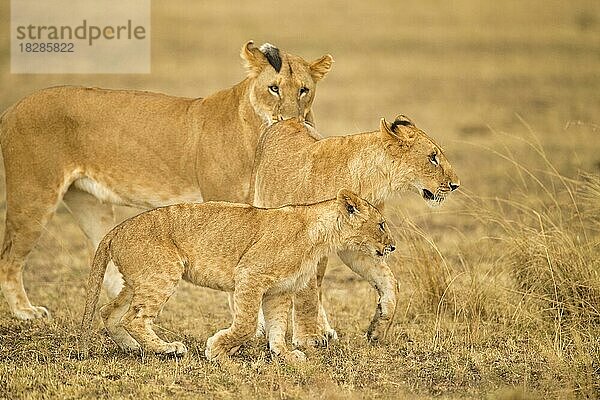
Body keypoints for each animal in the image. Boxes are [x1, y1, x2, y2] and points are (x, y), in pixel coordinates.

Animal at [0, 40, 332, 320]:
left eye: (304, 90)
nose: (290, 119)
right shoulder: (228, 204)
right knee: (8, 259)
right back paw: (25, 312)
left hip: (88, 204)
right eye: (274, 88)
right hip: (34, 197)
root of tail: (12, 108)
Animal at [83, 189, 394, 360]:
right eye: (381, 224)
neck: (321, 236)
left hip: (138, 280)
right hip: (163, 273)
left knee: (110, 312)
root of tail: (116, 229)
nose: (393, 246)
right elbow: (245, 324)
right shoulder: (250, 275)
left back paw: (132, 348)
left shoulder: (279, 290)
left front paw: (284, 355)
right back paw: (167, 349)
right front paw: (218, 350)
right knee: (133, 318)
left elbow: (278, 326)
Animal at [251, 114, 458, 346]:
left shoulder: (362, 244)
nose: (456, 185)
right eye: (433, 157)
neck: (371, 183)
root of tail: (286, 119)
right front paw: (307, 339)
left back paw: (326, 330)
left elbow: (389, 282)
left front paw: (377, 329)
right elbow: (306, 294)